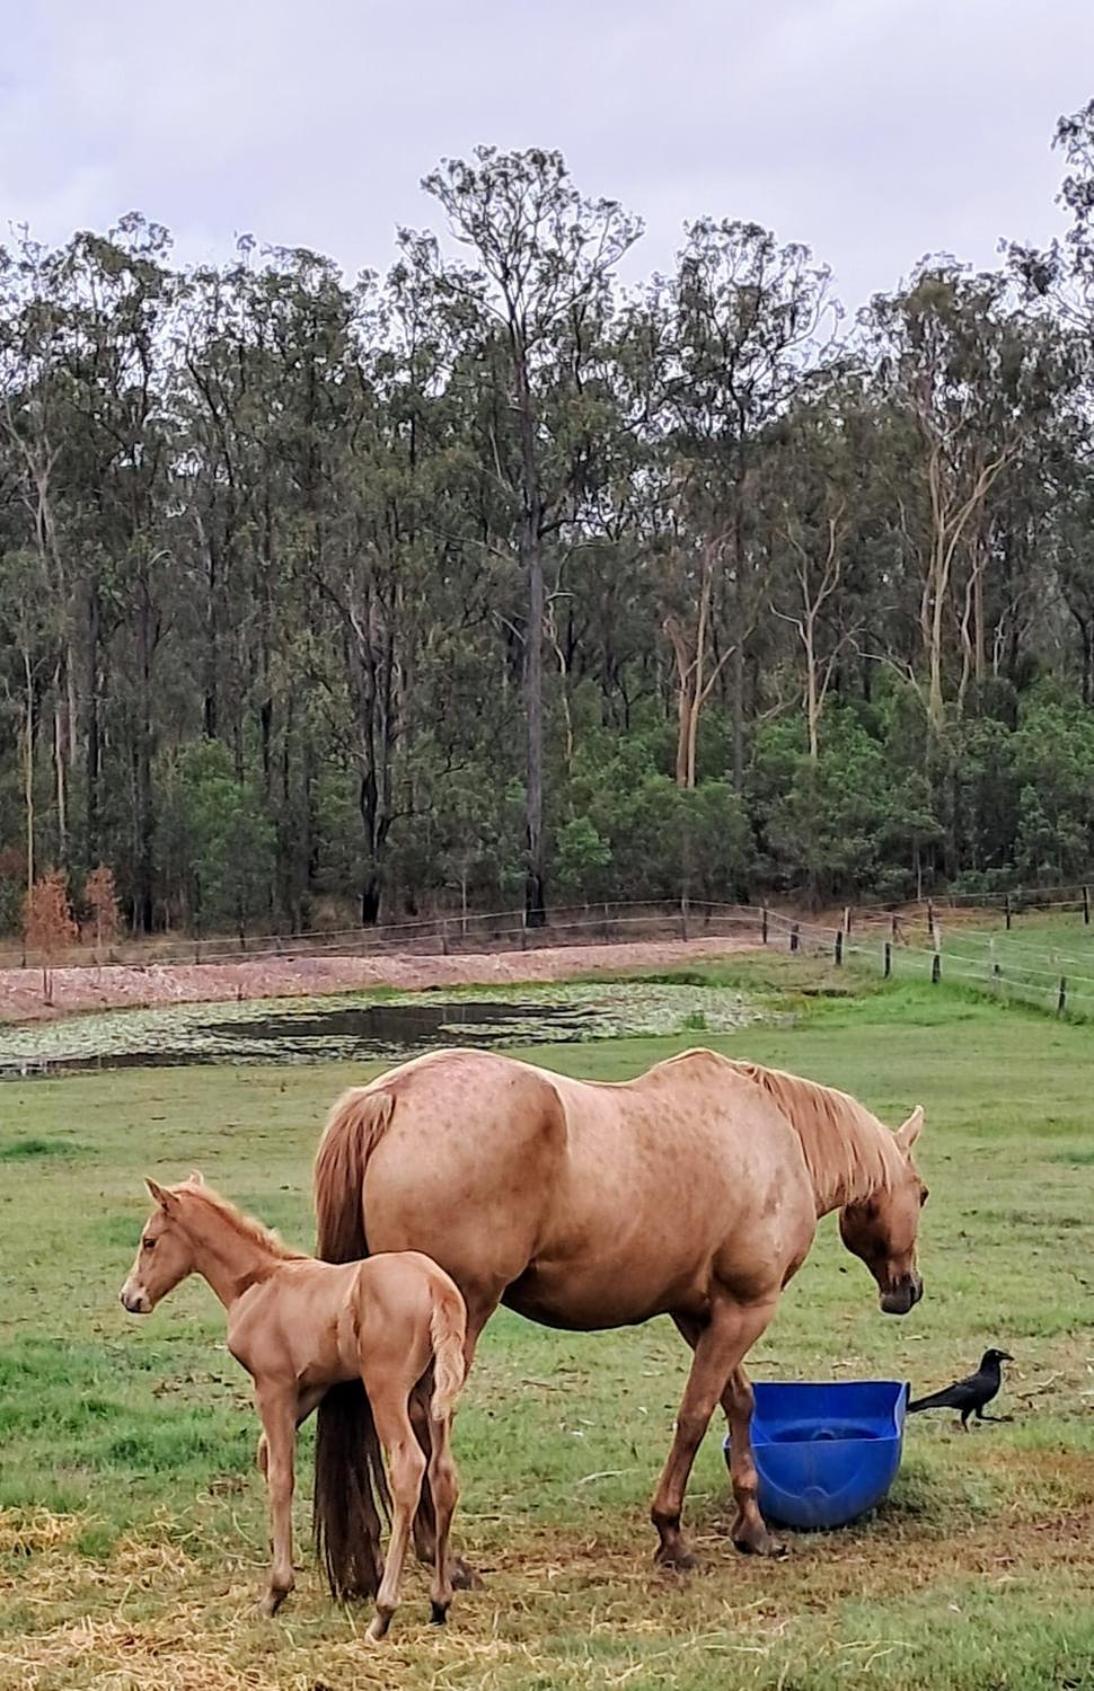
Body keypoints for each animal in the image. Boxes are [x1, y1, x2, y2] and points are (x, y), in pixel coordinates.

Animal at [119, 1172, 467, 1642]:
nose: (130, 1298)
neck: (259, 1282)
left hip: (386, 1389)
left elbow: (281, 1476)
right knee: (443, 1475)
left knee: (409, 1468)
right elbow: (267, 1456)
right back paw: (439, 1601)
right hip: (431, 1396)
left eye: (149, 1241)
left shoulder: (273, 1387)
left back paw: (383, 1612)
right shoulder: (311, 1388)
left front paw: (276, 1591)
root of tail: (435, 1285)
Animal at [310, 1046, 927, 1592]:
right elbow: (696, 1415)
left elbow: (739, 1403)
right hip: (458, 1320)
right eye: (921, 1193)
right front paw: (673, 1536)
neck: (775, 1135)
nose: (908, 1290)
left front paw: (752, 1530)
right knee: (423, 1420)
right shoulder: (746, 1309)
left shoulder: (700, 1313)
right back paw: (444, 1558)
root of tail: (392, 1097)